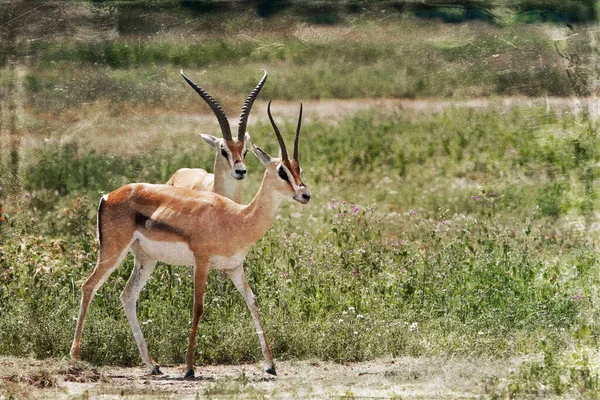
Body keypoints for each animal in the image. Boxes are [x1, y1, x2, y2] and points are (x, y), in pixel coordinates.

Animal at [71, 101, 310, 380]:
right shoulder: (202, 262)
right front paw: (189, 367)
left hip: (145, 259)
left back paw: (153, 365)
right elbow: (198, 307)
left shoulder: (234, 267)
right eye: (282, 171)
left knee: (127, 296)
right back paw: (75, 357)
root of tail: (108, 195)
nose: (305, 195)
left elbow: (252, 301)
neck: (236, 217)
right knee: (88, 286)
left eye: (298, 169)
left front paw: (270, 365)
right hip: (113, 251)